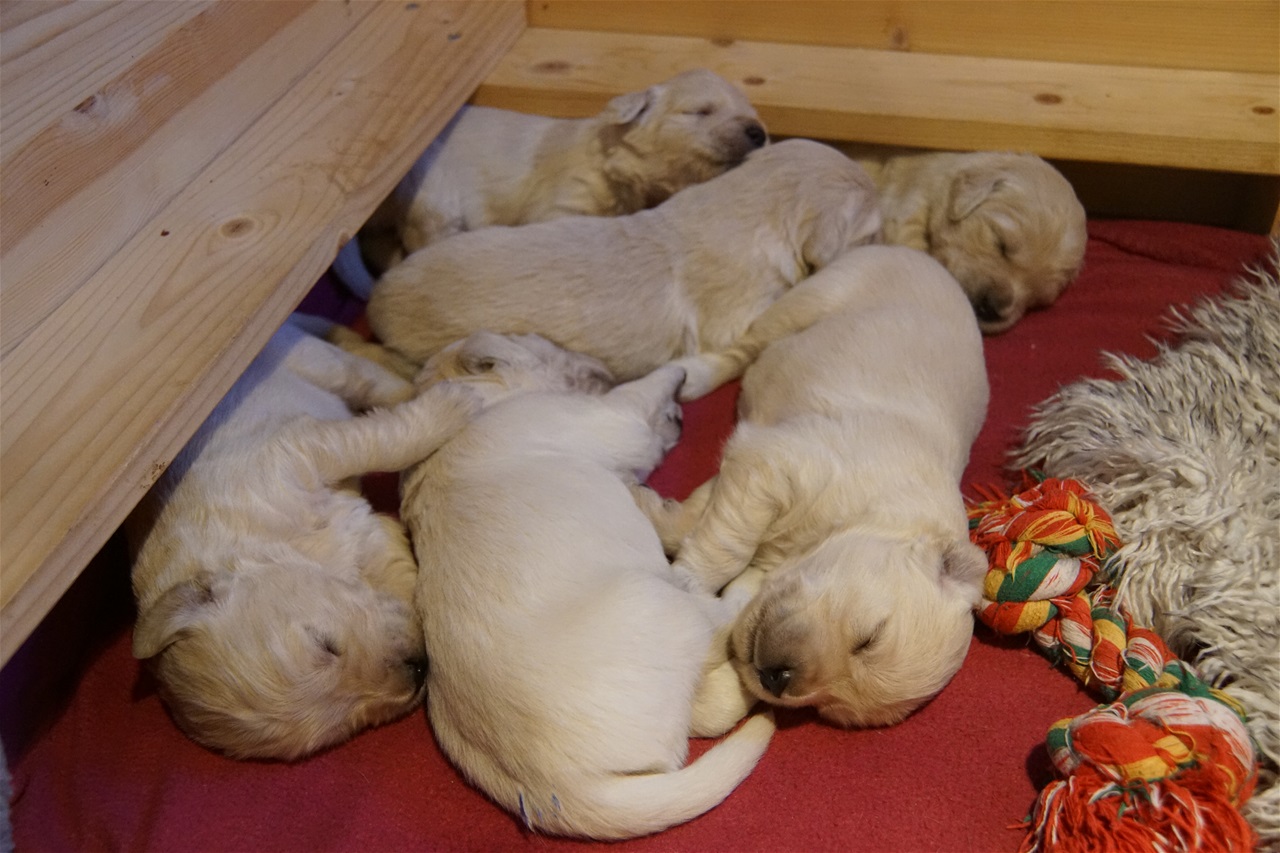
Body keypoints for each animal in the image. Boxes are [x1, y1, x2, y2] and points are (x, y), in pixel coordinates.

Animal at [127, 315, 479, 760]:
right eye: (345, 725)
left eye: (324, 643)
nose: (419, 672)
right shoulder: (364, 534)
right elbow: (398, 568)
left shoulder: (297, 450)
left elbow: (382, 440)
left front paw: (452, 405)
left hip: (306, 358)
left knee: (365, 375)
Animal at [401, 363, 773, 839]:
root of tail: (555, 788)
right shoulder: (613, 417)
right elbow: (642, 393)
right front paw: (676, 377)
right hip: (660, 600)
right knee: (718, 620)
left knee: (712, 707)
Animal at [642, 245, 990, 728]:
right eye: (870, 637)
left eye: (829, 708)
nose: (777, 679)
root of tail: (920, 254)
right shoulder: (779, 461)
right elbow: (728, 545)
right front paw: (687, 582)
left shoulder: (751, 465)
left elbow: (701, 514)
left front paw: (651, 509)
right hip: (818, 295)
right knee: (747, 346)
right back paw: (691, 374)